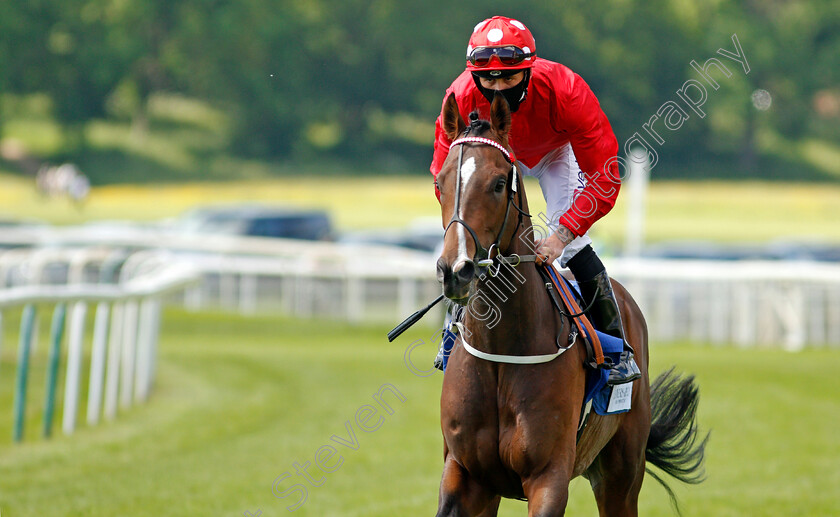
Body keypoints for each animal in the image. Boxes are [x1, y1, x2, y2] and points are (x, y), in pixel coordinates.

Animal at [434, 90, 704, 512]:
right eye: (440, 182)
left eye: (498, 183)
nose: (455, 270)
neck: (502, 352)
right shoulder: (464, 473)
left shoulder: (548, 476)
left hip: (620, 474)